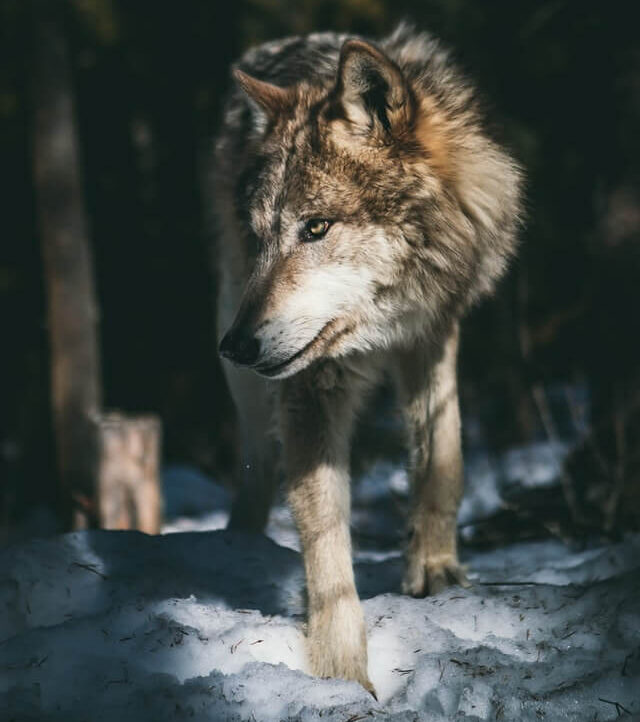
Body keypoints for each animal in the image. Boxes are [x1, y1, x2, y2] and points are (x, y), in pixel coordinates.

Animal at [212, 23, 524, 692]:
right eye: (262, 236)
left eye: (316, 228)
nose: (236, 345)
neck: (382, 322)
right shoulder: (310, 383)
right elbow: (324, 533)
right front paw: (340, 673)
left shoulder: (433, 331)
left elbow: (443, 459)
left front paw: (435, 571)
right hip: (233, 334)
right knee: (255, 461)